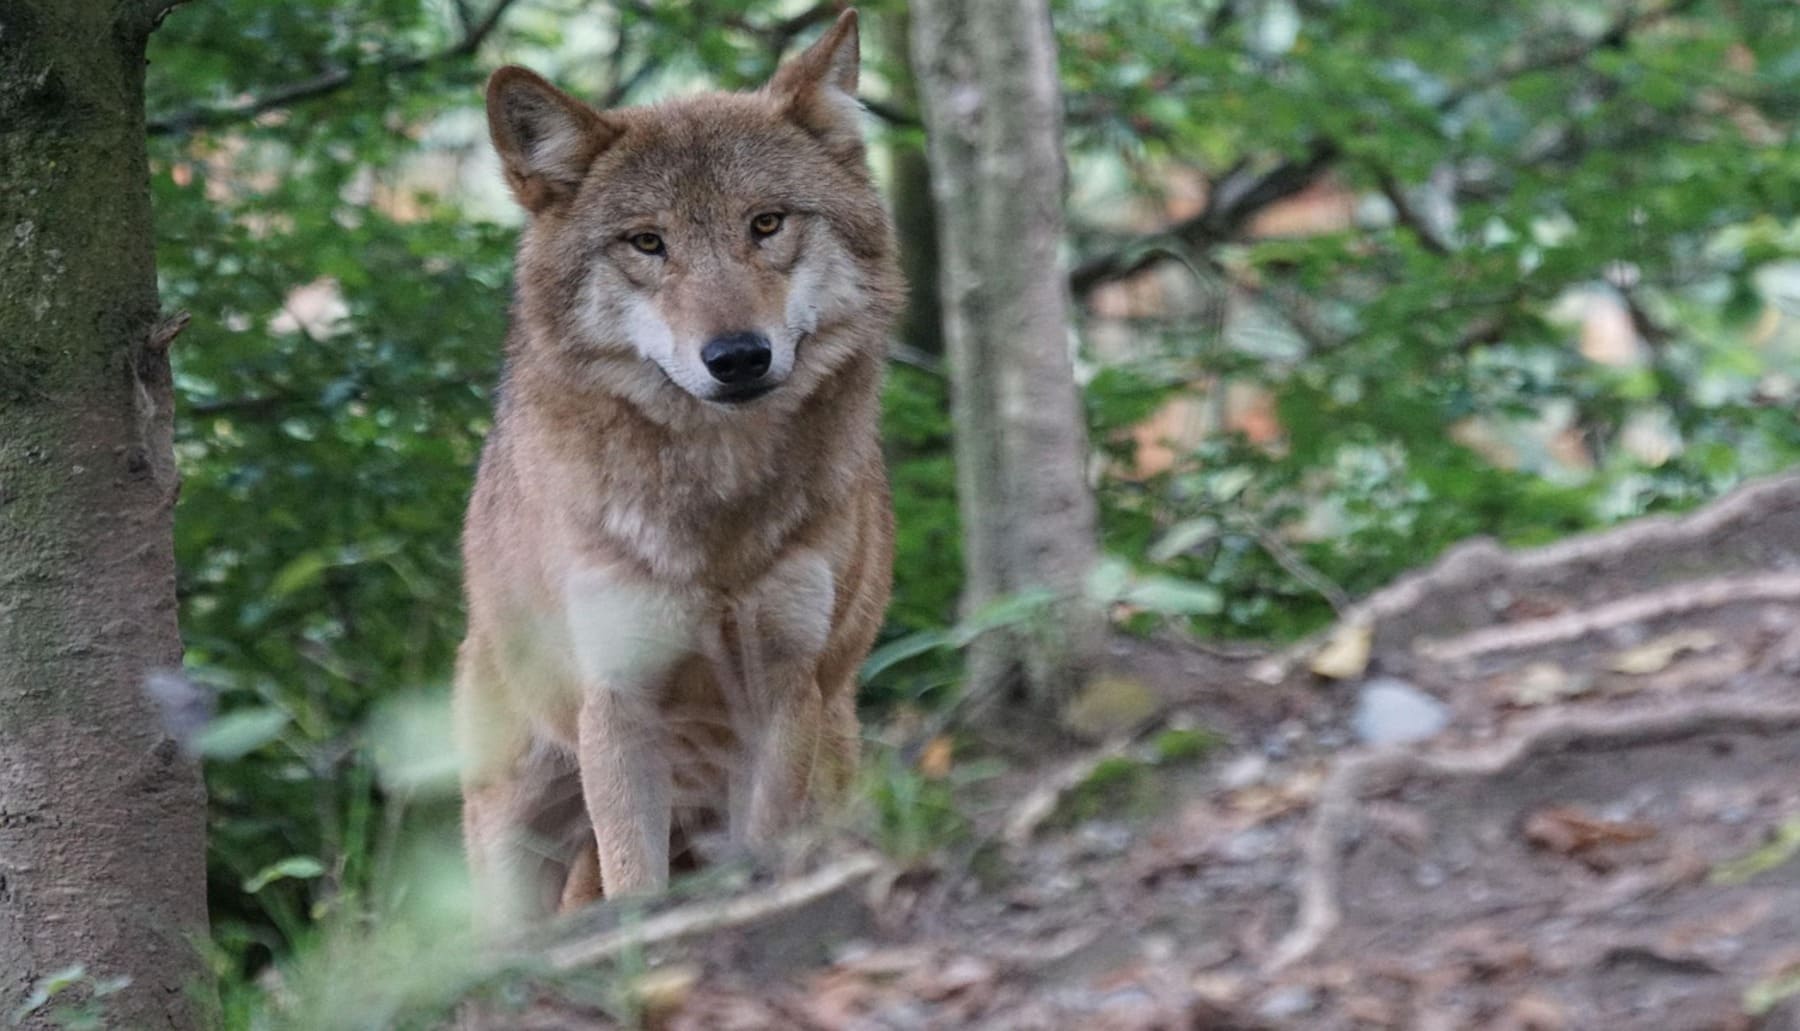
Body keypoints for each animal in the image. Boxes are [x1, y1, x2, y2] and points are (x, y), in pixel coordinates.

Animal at [454, 8, 902, 922]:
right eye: (648, 242)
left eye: (765, 223)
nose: (736, 356)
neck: (716, 509)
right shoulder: (619, 702)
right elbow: (635, 878)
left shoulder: (783, 686)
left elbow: (765, 844)